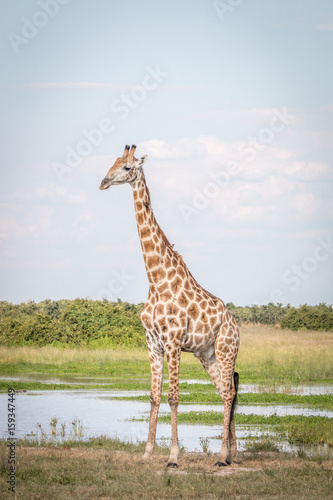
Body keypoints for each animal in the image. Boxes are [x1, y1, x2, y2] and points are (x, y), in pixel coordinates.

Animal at [98, 145, 239, 468]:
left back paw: (222, 456)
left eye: (127, 168)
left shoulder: (173, 341)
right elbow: (154, 396)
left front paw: (173, 457)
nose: (103, 182)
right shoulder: (152, 342)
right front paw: (147, 452)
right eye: (112, 162)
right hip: (207, 354)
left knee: (228, 393)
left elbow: (174, 396)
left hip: (226, 350)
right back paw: (231, 453)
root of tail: (237, 325)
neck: (156, 280)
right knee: (226, 391)